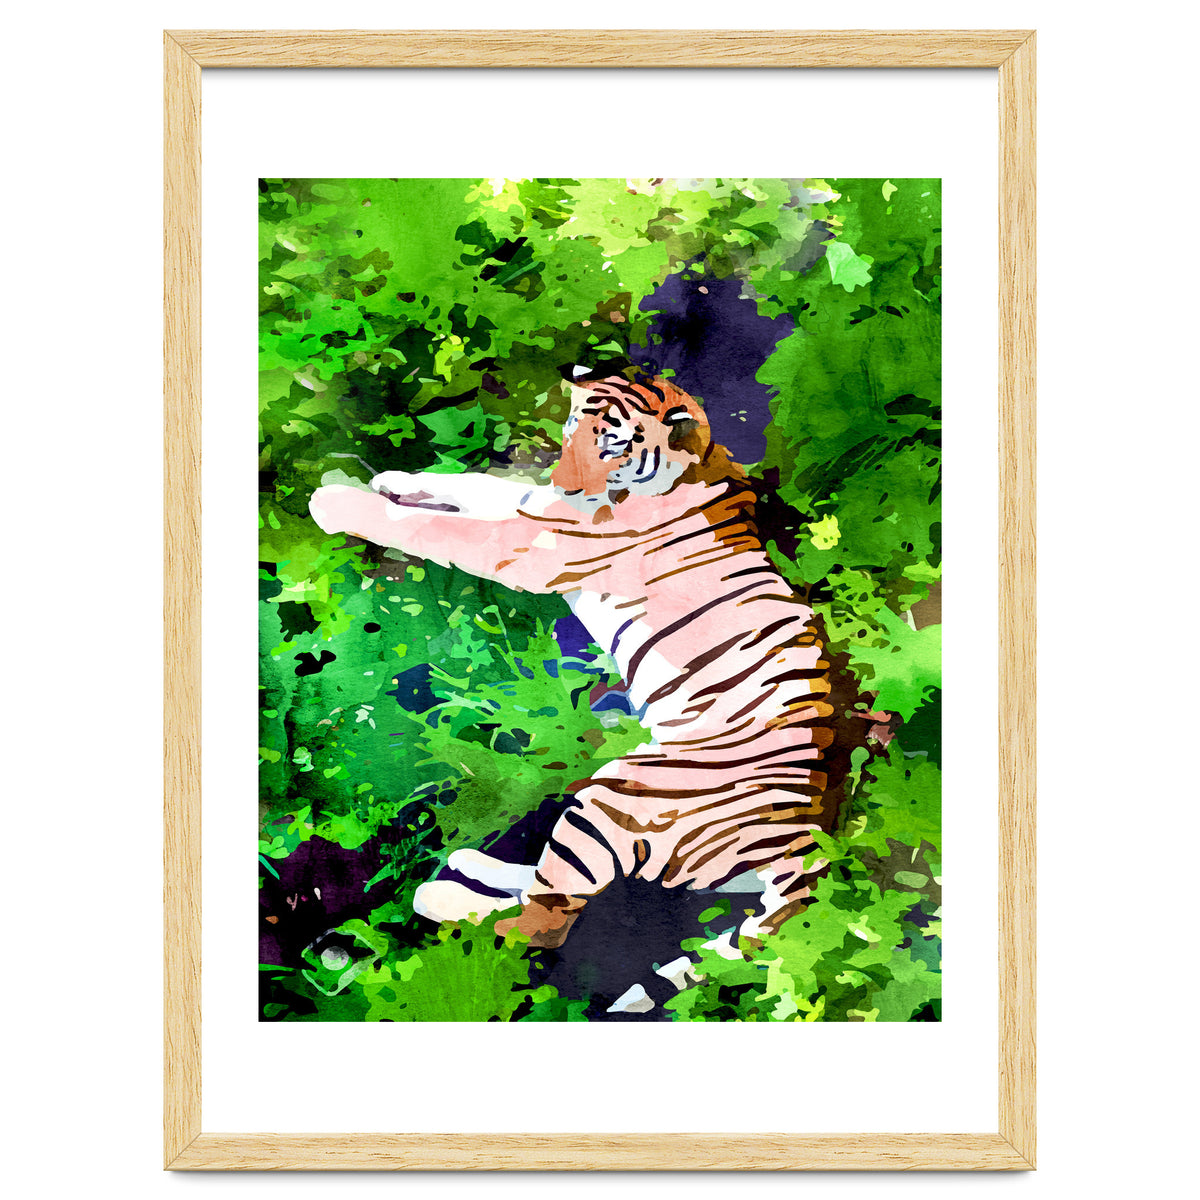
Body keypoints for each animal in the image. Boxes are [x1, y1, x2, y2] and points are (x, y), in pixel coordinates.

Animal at [309, 368, 862, 950]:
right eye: (572, 427)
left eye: (613, 445)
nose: (567, 484)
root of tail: (804, 841)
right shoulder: (533, 506)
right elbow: (476, 485)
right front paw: (394, 478)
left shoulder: (527, 543)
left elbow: (427, 526)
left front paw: (334, 501)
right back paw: (470, 862)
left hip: (614, 798)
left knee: (541, 922)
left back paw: (437, 896)